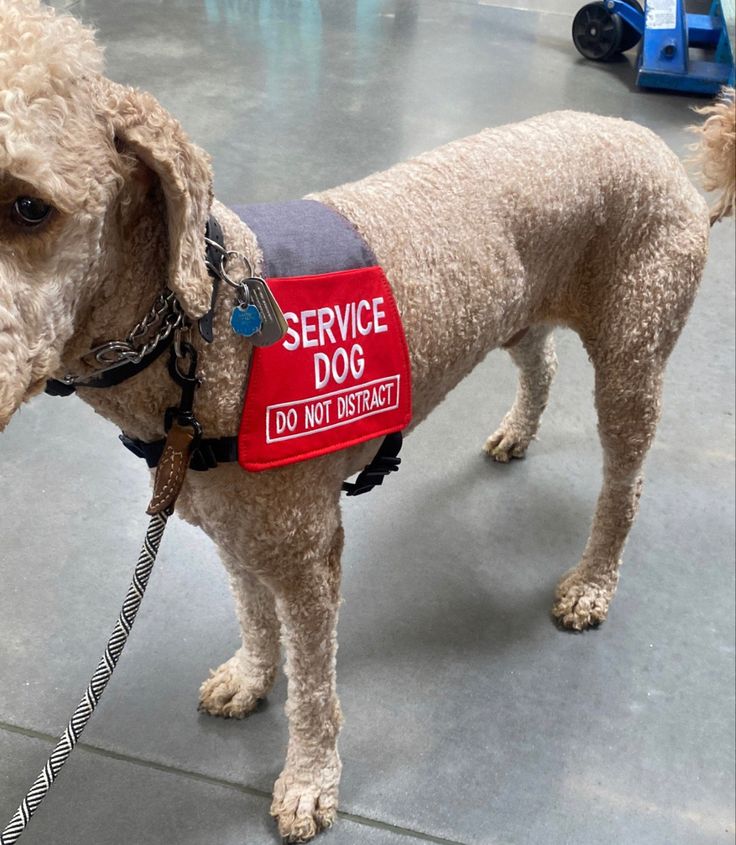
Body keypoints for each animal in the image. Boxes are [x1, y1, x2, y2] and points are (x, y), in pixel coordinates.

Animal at [1, 3, 736, 840]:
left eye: (29, 205)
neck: (201, 335)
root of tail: (660, 152)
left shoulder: (308, 552)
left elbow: (316, 683)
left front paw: (309, 779)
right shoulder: (234, 529)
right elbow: (254, 615)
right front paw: (252, 675)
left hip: (631, 358)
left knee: (624, 487)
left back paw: (591, 582)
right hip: (523, 314)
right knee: (541, 365)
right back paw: (518, 432)